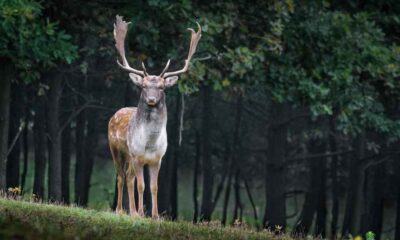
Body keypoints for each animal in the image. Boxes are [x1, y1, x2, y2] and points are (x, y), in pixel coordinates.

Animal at [108, 14, 202, 218]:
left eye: (161, 87)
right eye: (143, 86)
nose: (151, 99)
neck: (150, 143)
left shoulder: (157, 159)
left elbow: (154, 187)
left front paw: (155, 215)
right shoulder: (137, 156)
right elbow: (141, 185)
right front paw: (140, 213)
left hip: (130, 157)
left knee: (128, 177)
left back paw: (131, 211)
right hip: (117, 150)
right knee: (121, 176)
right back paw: (121, 210)